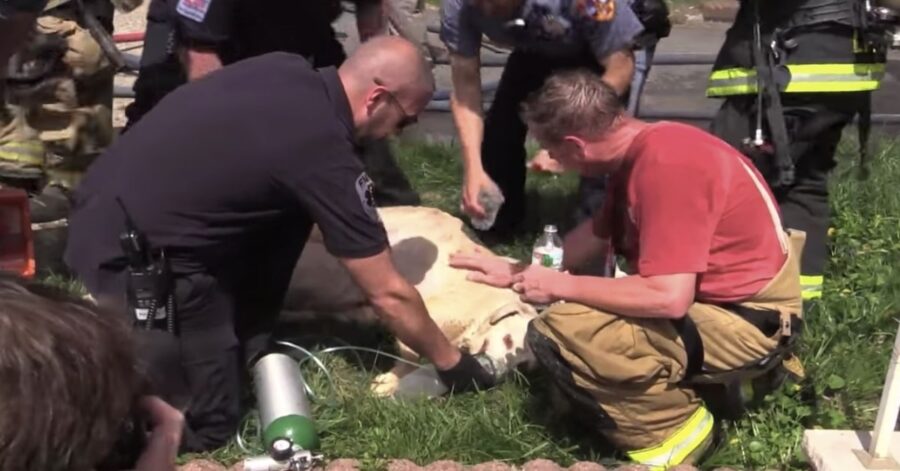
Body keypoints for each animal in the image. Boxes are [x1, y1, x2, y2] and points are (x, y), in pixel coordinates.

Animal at [284, 206, 536, 394]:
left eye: (521, 367)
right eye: (508, 341)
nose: (492, 377)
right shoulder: (429, 311)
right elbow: (413, 352)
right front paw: (388, 383)